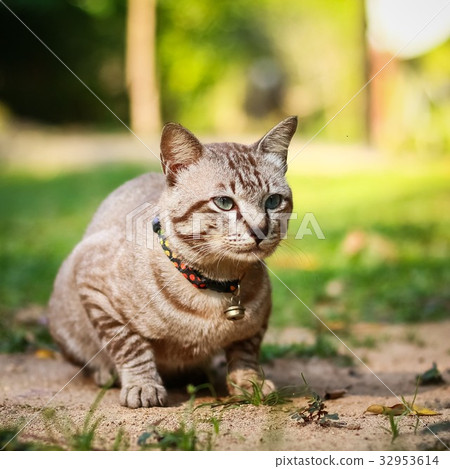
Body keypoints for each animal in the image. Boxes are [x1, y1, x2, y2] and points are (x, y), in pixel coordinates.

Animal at [49, 116, 298, 406]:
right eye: (224, 202)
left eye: (273, 201)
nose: (260, 229)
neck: (217, 282)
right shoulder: (93, 286)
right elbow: (130, 347)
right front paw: (142, 386)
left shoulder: (256, 323)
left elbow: (245, 353)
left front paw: (250, 384)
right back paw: (106, 374)